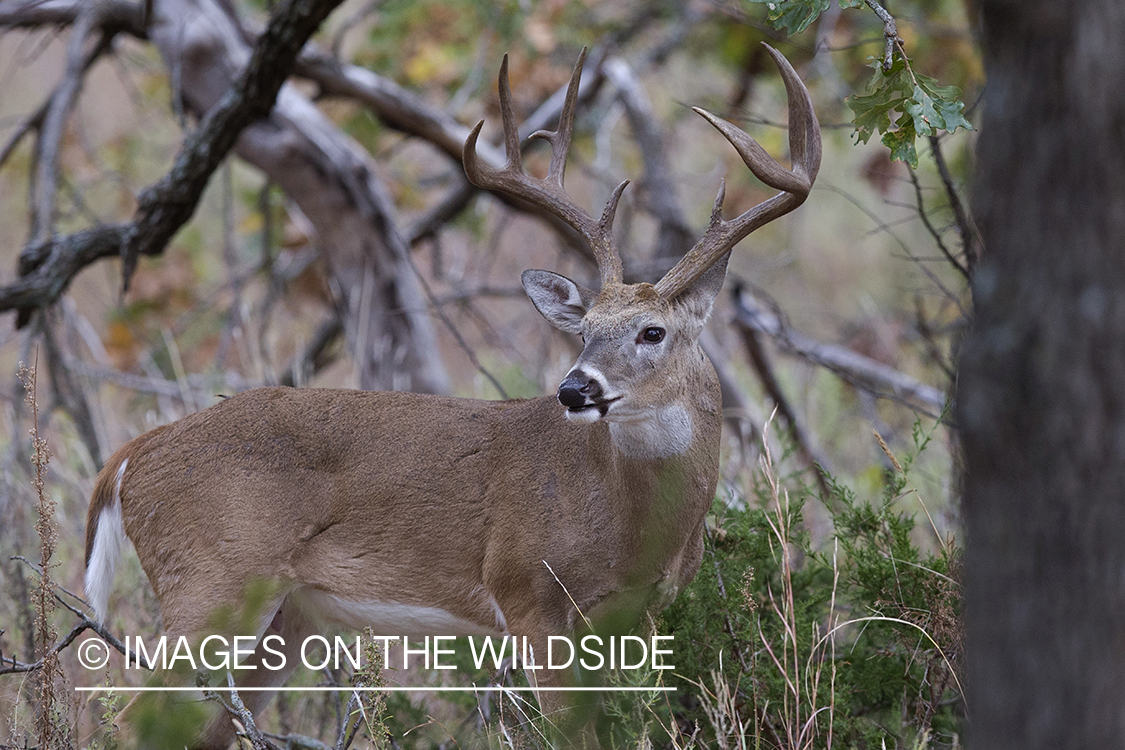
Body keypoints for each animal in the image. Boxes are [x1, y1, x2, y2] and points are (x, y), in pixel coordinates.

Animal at [81, 44, 819, 746]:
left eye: (652, 331)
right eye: (584, 330)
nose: (574, 388)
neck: (629, 520)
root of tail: (130, 457)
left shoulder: (637, 620)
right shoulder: (529, 592)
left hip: (287, 615)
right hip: (210, 582)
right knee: (127, 721)